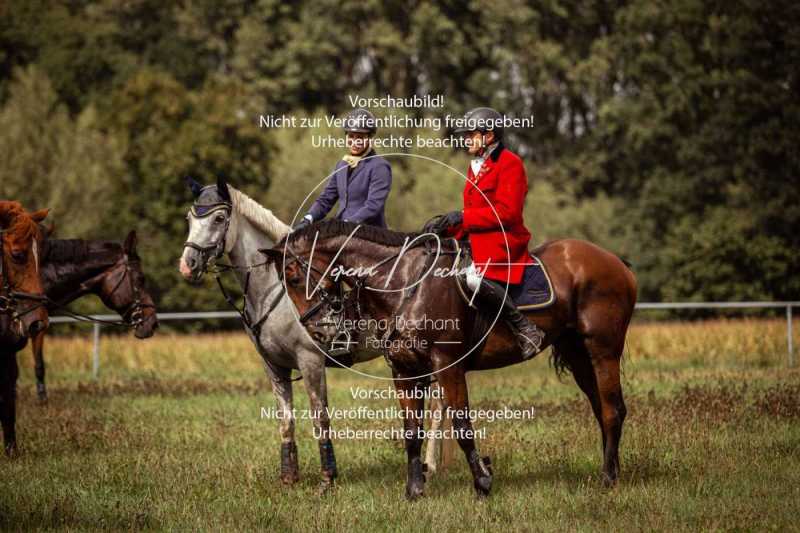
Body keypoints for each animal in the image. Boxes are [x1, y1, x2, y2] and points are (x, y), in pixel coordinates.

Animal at [178, 176, 444, 490]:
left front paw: (327, 479)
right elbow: (286, 420)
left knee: (440, 404)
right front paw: (288, 479)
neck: (274, 289)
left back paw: (430, 467)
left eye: (219, 218)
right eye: (189, 218)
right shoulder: (274, 366)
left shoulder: (311, 361)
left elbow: (320, 418)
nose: (187, 265)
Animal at [268, 221, 636, 498]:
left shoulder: (448, 366)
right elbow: (412, 432)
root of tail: (617, 262)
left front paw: (483, 482)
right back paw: (613, 470)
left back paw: (608, 479)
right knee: (602, 409)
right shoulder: (404, 372)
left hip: (603, 350)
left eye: (295, 278)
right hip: (578, 354)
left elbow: (461, 426)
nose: (318, 332)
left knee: (611, 410)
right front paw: (415, 490)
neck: (403, 283)